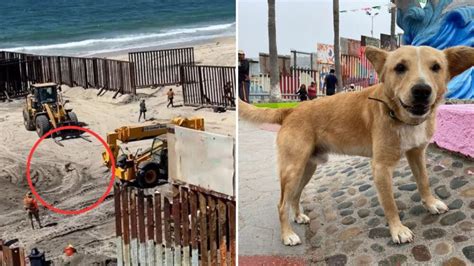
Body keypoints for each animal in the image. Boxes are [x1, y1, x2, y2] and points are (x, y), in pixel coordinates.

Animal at [241, 45, 474, 245]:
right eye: (400, 67)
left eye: (436, 67)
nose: (422, 90)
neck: (399, 116)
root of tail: (290, 110)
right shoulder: (381, 167)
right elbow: (390, 203)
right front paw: (397, 229)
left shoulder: (417, 154)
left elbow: (423, 181)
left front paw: (431, 203)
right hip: (293, 169)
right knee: (281, 204)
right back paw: (287, 234)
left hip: (307, 168)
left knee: (295, 196)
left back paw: (298, 216)